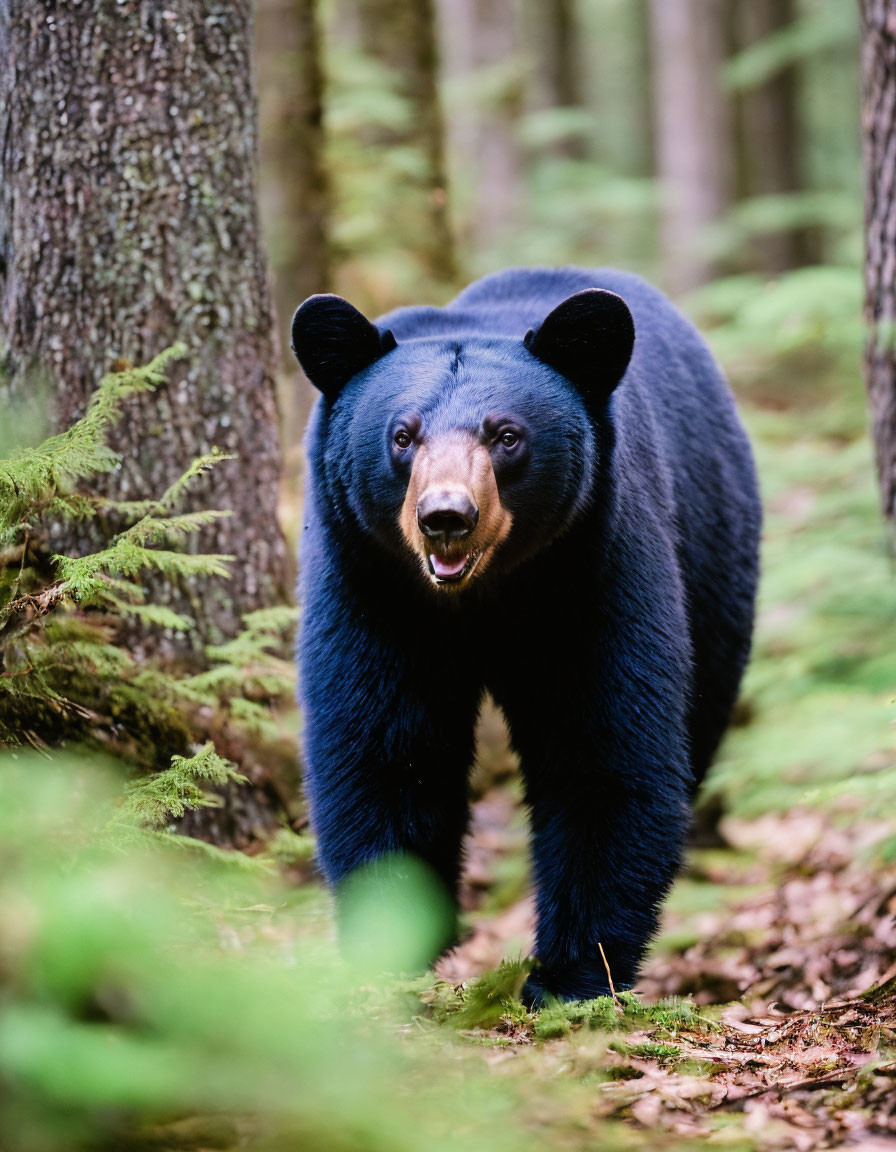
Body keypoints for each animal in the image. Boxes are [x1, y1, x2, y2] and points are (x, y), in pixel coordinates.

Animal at [290, 264, 755, 1004]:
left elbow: (601, 749)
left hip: (714, 552)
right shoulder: (371, 583)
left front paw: (570, 976)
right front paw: (393, 950)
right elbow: (384, 748)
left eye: (506, 435)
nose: (446, 517)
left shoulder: (589, 567)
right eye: (403, 435)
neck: (480, 599)